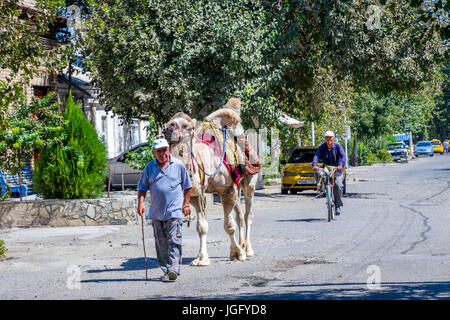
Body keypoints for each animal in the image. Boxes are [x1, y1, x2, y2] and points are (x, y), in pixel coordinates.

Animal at [163, 99, 258, 266]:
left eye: (185, 125)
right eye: (170, 121)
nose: (168, 128)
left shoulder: (227, 190)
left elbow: (229, 226)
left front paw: (237, 253)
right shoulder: (196, 195)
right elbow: (201, 226)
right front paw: (201, 258)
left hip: (249, 182)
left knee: (247, 214)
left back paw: (247, 249)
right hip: (237, 188)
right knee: (240, 215)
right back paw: (243, 245)